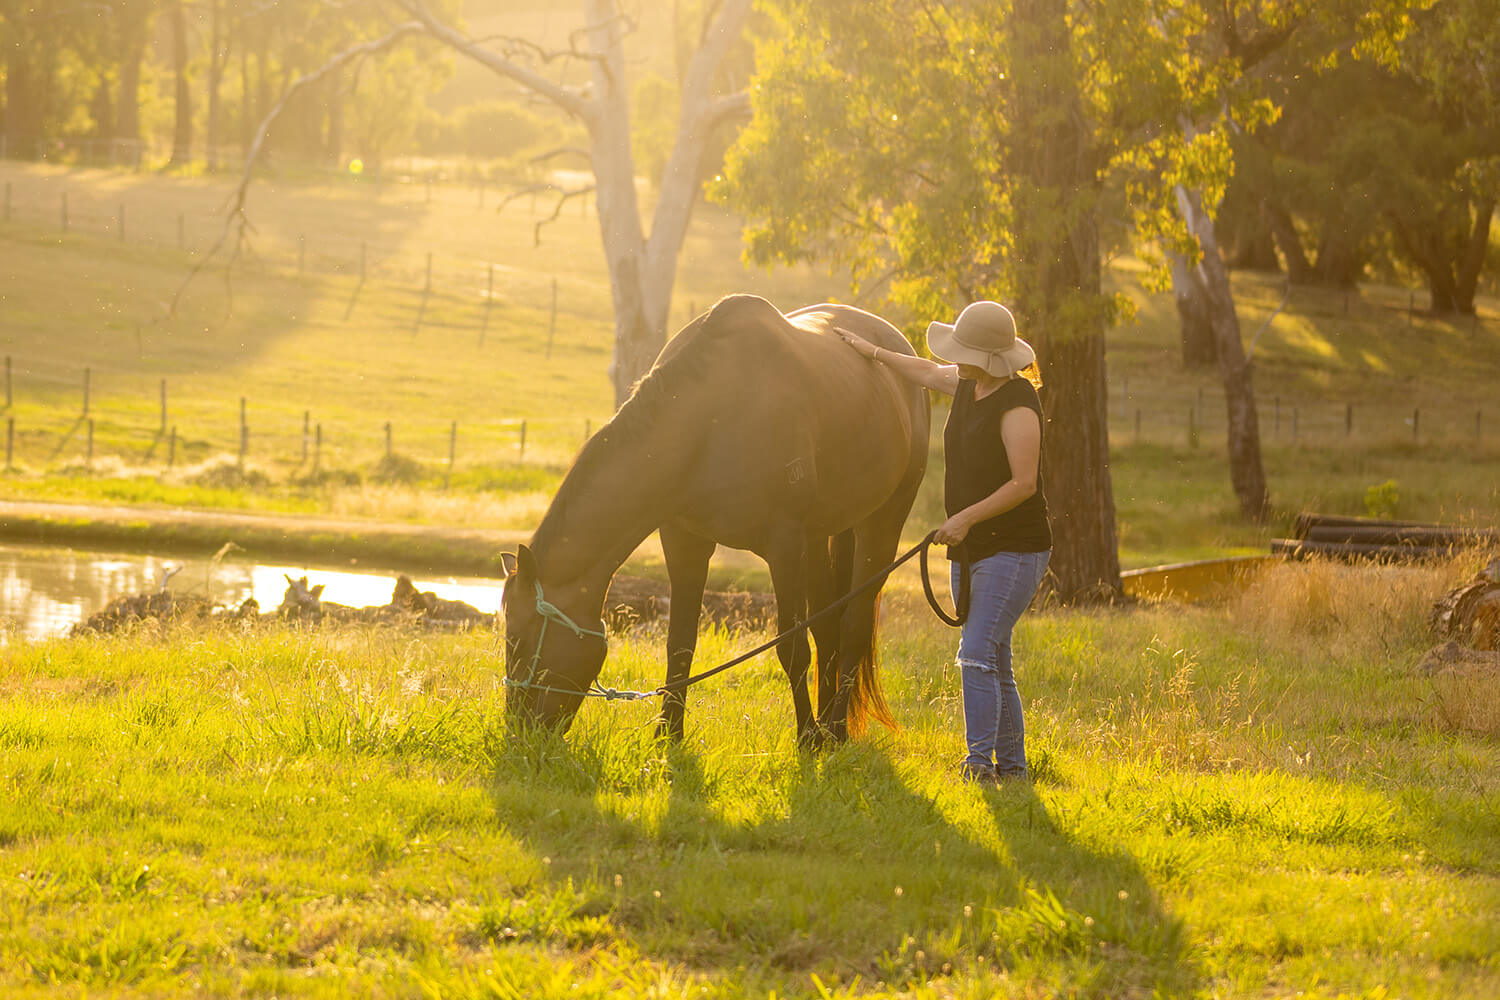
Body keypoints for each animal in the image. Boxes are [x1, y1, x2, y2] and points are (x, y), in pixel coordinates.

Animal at [501, 290, 924, 743]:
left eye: (518, 640)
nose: (518, 731)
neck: (710, 420)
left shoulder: (784, 547)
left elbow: (791, 647)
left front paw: (806, 739)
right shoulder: (684, 540)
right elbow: (680, 641)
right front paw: (669, 734)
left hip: (880, 525)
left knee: (853, 627)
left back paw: (835, 729)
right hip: (821, 539)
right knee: (828, 627)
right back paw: (830, 729)